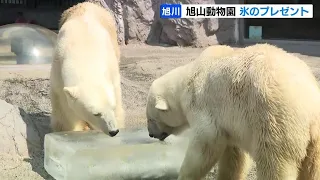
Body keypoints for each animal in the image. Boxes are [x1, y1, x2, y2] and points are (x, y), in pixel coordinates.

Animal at [49, 1, 124, 137]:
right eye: (96, 113)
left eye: (112, 107)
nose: (113, 131)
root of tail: (88, 3)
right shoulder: (58, 73)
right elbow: (65, 112)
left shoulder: (113, 71)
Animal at [146, 44, 320, 180]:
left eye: (151, 119)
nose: (150, 134)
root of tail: (308, 103)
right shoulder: (233, 121)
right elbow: (234, 155)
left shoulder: (204, 105)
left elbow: (205, 144)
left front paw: (184, 175)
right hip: (314, 132)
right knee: (313, 166)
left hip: (274, 121)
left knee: (275, 164)